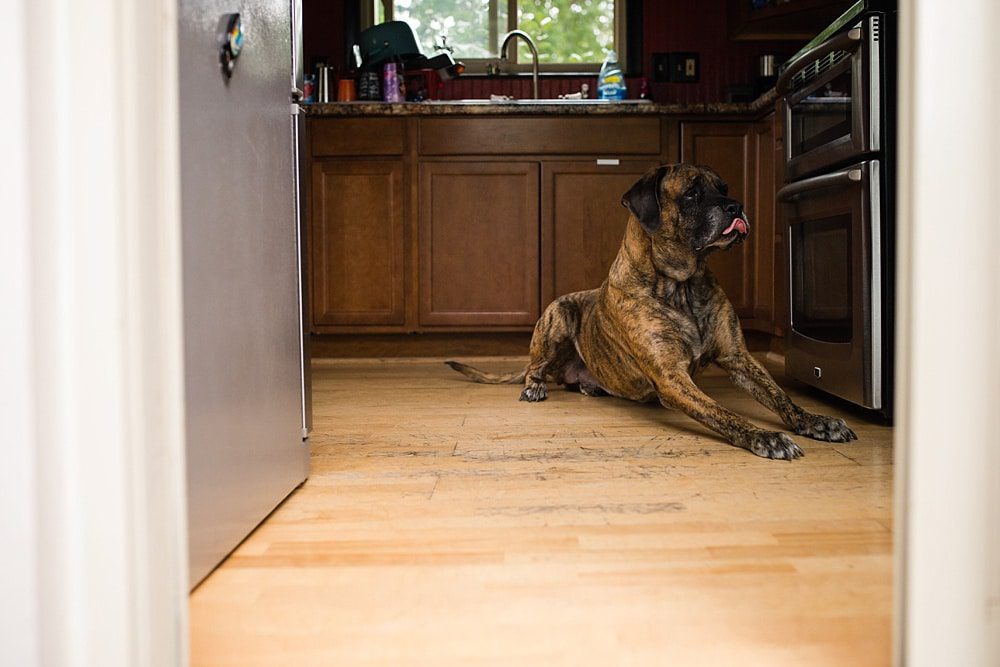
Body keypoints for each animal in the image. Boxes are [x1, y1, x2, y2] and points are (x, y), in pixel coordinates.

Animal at [450, 164, 856, 462]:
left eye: (724, 187)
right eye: (692, 193)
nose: (736, 205)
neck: (682, 284)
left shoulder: (739, 358)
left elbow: (781, 397)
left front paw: (816, 421)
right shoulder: (672, 377)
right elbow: (725, 414)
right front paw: (766, 436)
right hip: (558, 314)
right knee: (535, 367)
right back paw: (535, 387)